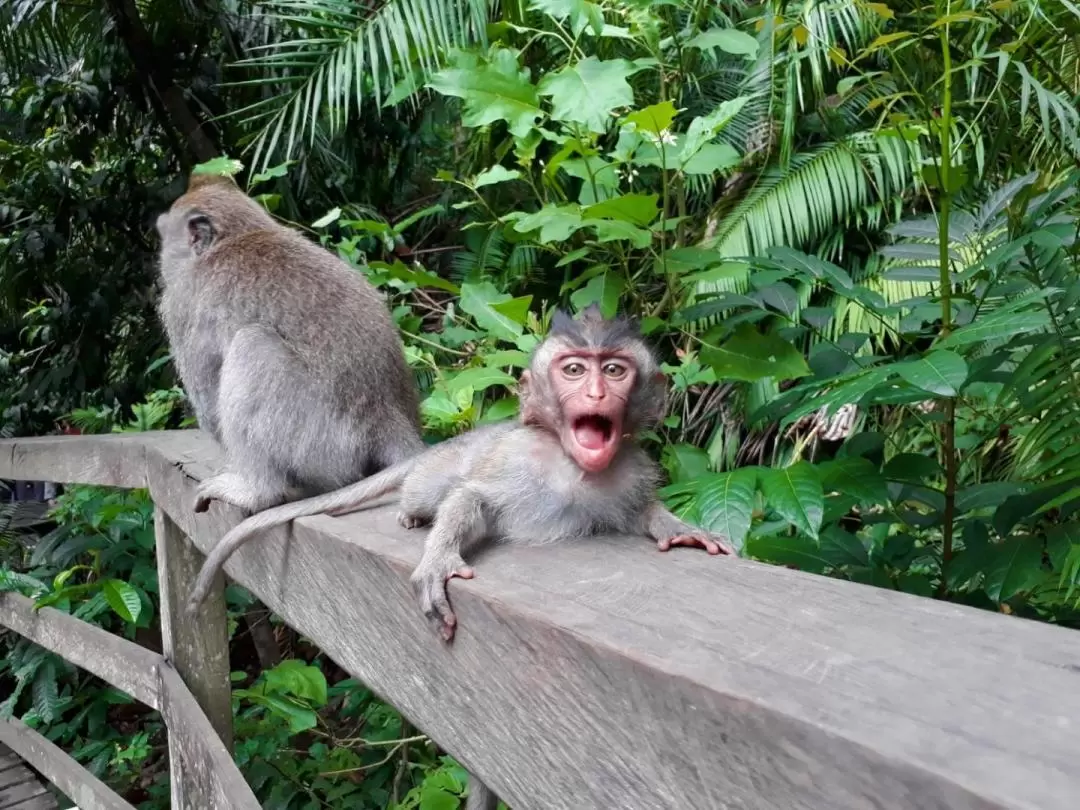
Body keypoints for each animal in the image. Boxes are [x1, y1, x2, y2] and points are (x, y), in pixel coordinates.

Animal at [156, 173, 425, 516]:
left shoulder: (182, 304)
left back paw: (258, 492)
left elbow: (209, 409)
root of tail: (386, 416)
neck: (240, 234)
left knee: (251, 345)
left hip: (320, 444)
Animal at [185, 302, 734, 635]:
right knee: (438, 490)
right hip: (438, 469)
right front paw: (438, 560)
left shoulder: (633, 470)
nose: (597, 393)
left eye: (614, 370)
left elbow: (643, 510)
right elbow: (474, 497)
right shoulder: (516, 461)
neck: (573, 467)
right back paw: (414, 512)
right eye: (575, 370)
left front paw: (678, 527)